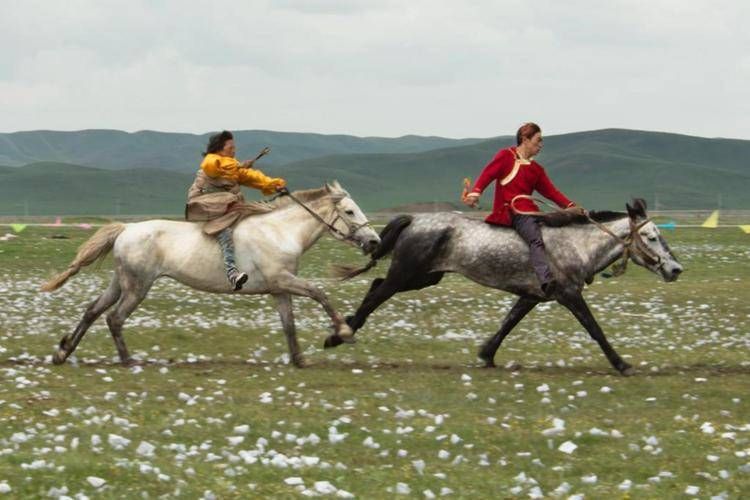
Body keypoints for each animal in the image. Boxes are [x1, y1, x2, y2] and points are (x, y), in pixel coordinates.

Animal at [41, 182, 382, 366]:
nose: (375, 241)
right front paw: (343, 333)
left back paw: (62, 352)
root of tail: (125, 229)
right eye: (350, 211)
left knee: (93, 310)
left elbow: (289, 325)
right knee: (114, 318)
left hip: (121, 283)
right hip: (138, 287)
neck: (281, 232)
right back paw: (128, 361)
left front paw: (300, 359)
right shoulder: (284, 281)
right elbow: (320, 293)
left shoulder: (279, 289)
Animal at [326, 199, 684, 376]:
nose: (675, 269)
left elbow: (509, 323)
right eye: (651, 236)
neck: (576, 245)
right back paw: (339, 335)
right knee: (377, 292)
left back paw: (342, 330)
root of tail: (415, 220)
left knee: (375, 284)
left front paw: (486, 354)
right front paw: (621, 364)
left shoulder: (533, 296)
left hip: (424, 277)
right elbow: (595, 329)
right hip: (407, 274)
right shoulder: (569, 294)